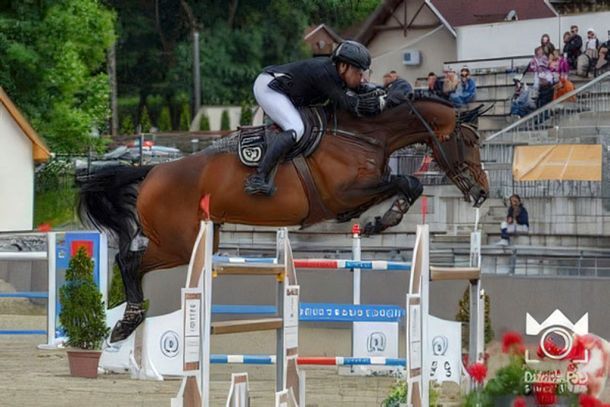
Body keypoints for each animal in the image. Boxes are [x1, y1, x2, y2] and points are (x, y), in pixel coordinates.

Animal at [79, 97, 490, 342]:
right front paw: (385, 218)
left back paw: (128, 321)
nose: (483, 192)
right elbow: (407, 181)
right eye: (470, 142)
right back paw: (126, 322)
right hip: (179, 242)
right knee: (128, 260)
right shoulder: (343, 193)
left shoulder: (356, 193)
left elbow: (405, 185)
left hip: (192, 241)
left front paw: (381, 220)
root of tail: (151, 170)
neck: (365, 134)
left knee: (133, 262)